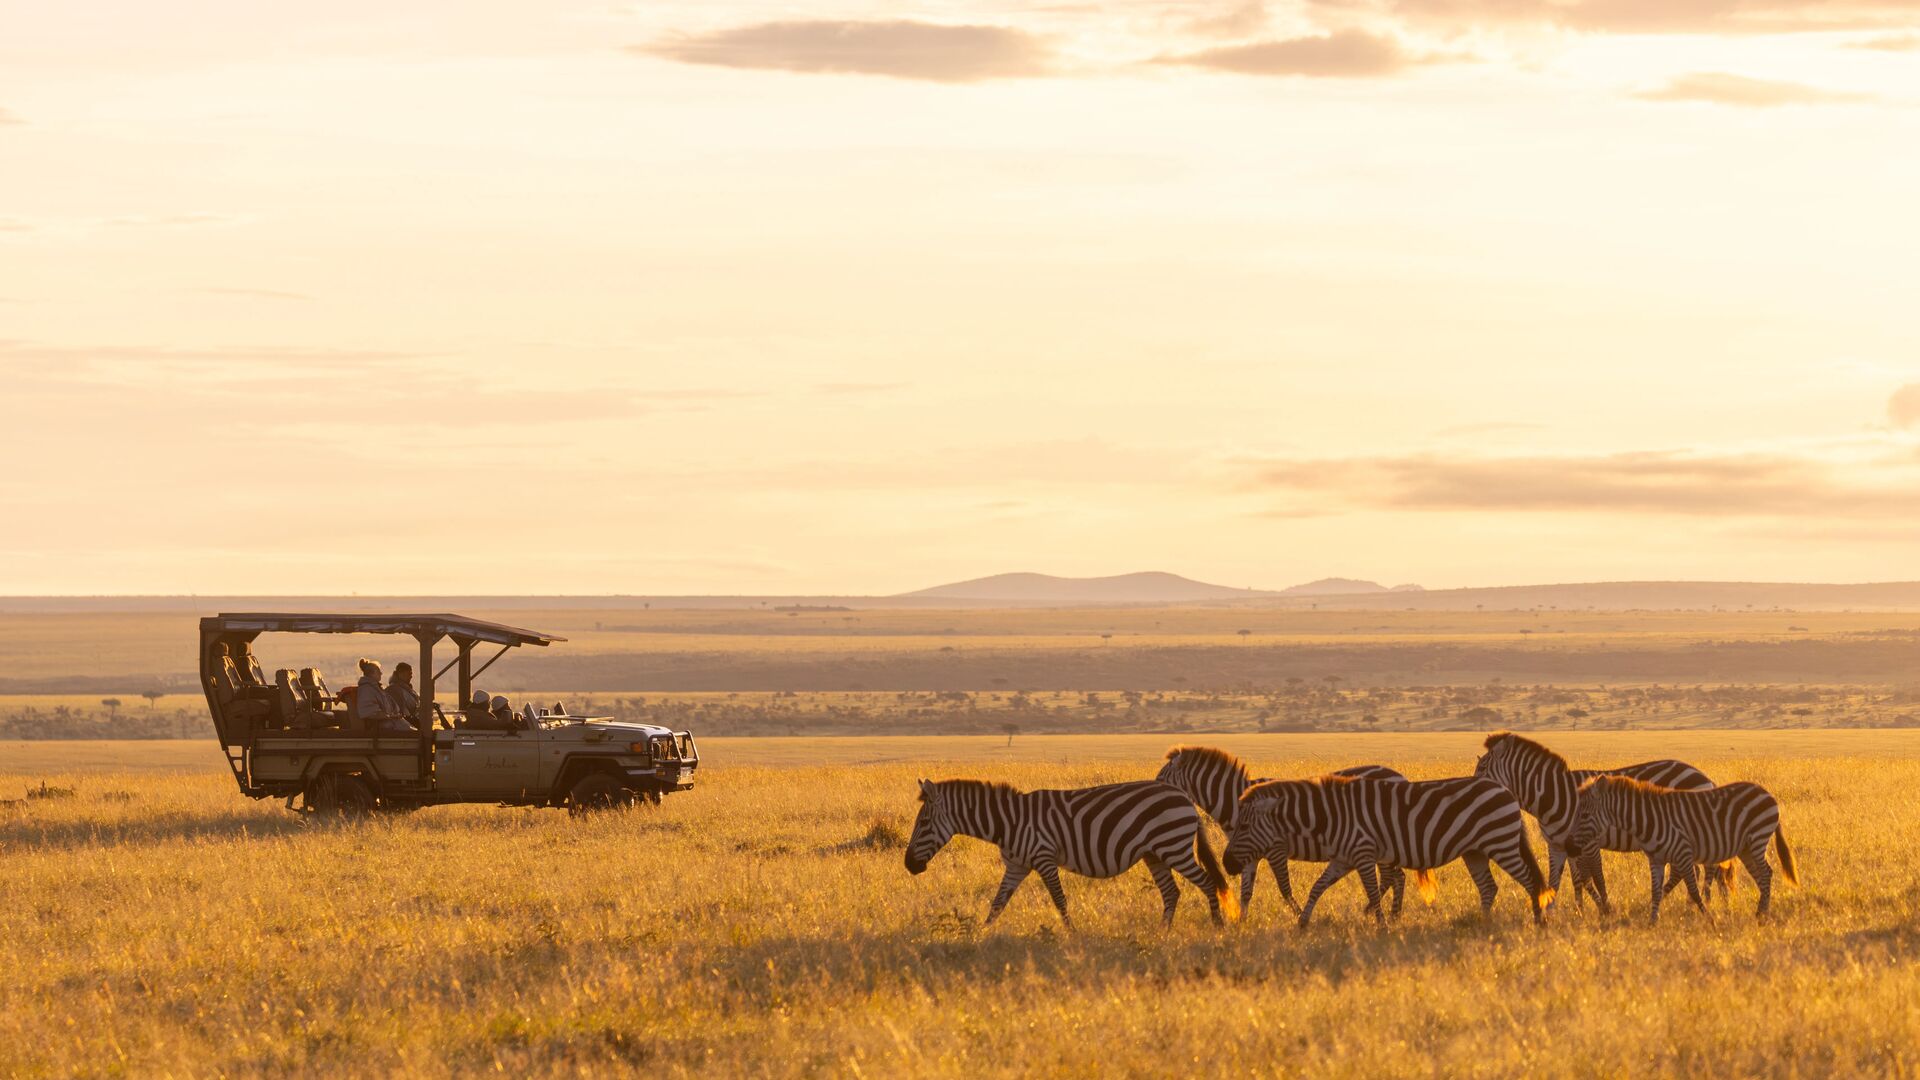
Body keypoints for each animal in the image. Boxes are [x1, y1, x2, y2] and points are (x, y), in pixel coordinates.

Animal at [904, 778, 1237, 928]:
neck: (1008, 822)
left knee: (1208, 883)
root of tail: (1183, 796)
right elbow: (997, 904)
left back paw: (1217, 927)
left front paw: (1072, 934)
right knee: (1171, 893)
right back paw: (1162, 933)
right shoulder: (1016, 866)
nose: (908, 865)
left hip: (1174, 847)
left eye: (923, 823)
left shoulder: (1044, 858)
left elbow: (1059, 900)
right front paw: (981, 935)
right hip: (1155, 854)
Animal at [1155, 745, 1410, 916]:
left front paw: (1299, 915)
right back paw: (1392, 914)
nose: (1153, 789)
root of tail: (1399, 776)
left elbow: (1285, 888)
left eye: (1162, 776)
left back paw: (1377, 912)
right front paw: (1241, 924)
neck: (1236, 800)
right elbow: (1246, 891)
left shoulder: (1275, 849)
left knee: (1392, 876)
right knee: (1397, 875)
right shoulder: (1248, 853)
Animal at [1224, 775, 1552, 927]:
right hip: (1475, 851)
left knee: (1529, 880)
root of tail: (1504, 790)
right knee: (1488, 887)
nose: (1227, 864)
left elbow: (1371, 889)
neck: (1331, 816)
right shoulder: (1343, 858)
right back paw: (1483, 922)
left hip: (1500, 843)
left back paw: (1538, 920)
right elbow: (1318, 886)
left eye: (1243, 826)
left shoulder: (1363, 853)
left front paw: (1381, 925)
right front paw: (1303, 922)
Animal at [1473, 732, 1727, 912]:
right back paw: (1686, 903)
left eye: (1482, 768)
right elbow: (1562, 881)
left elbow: (1596, 877)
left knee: (1705, 867)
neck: (1555, 796)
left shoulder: (1589, 842)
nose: (1473, 789)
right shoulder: (1558, 845)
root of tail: (1705, 777)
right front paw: (1557, 911)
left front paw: (1604, 909)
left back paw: (1700, 901)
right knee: (1689, 869)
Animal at [1570, 776, 1797, 922]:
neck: (1648, 820)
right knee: (1761, 876)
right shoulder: (1656, 859)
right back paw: (1762, 912)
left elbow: (1694, 891)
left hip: (1757, 839)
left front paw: (1709, 918)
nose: (1572, 846)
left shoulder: (1683, 854)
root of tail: (1767, 793)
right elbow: (1655, 891)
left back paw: (1761, 914)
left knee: (1766, 873)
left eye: (1584, 815)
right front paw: (1652, 922)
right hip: (1746, 848)